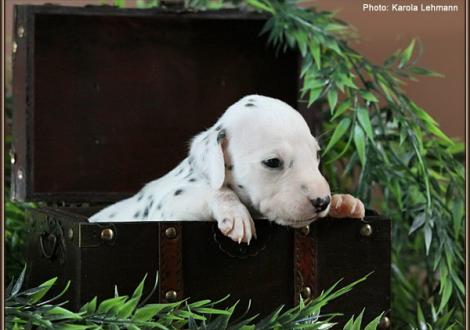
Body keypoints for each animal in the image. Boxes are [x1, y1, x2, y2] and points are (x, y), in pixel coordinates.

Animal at [90, 94, 366, 244]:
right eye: (273, 162)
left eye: (316, 154)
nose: (322, 201)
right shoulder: (169, 209)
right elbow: (216, 192)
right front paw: (235, 213)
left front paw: (342, 202)